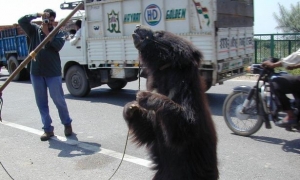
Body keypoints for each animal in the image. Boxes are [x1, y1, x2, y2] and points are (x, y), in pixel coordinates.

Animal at [122, 25, 218, 180]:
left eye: (158, 33)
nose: (137, 27)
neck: (165, 70)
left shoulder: (185, 89)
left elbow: (188, 121)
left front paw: (144, 96)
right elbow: (148, 129)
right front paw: (131, 108)